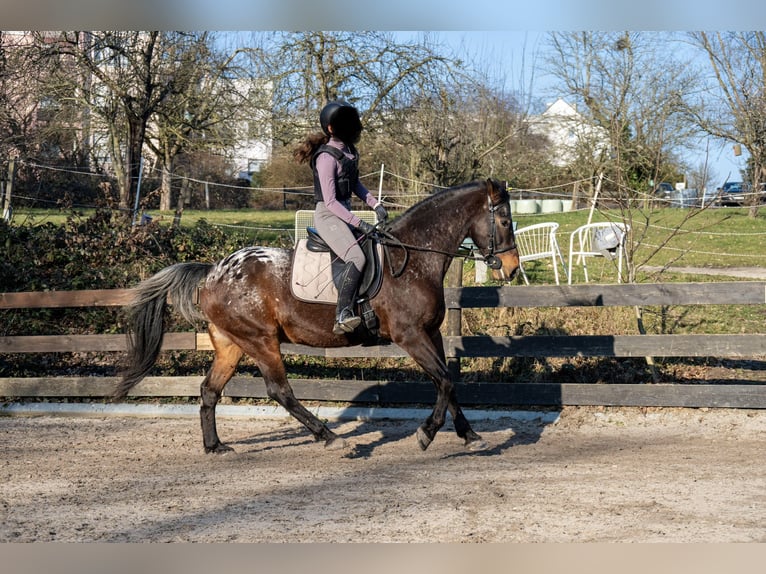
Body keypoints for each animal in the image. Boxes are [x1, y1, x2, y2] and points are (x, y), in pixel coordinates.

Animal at [115, 178, 520, 453]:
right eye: (503, 221)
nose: (513, 268)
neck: (415, 258)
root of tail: (214, 271)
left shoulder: (431, 334)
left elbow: (447, 383)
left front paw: (470, 436)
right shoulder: (411, 336)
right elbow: (445, 382)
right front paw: (426, 434)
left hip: (232, 343)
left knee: (209, 390)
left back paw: (215, 446)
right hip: (261, 341)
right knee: (280, 391)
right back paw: (329, 436)